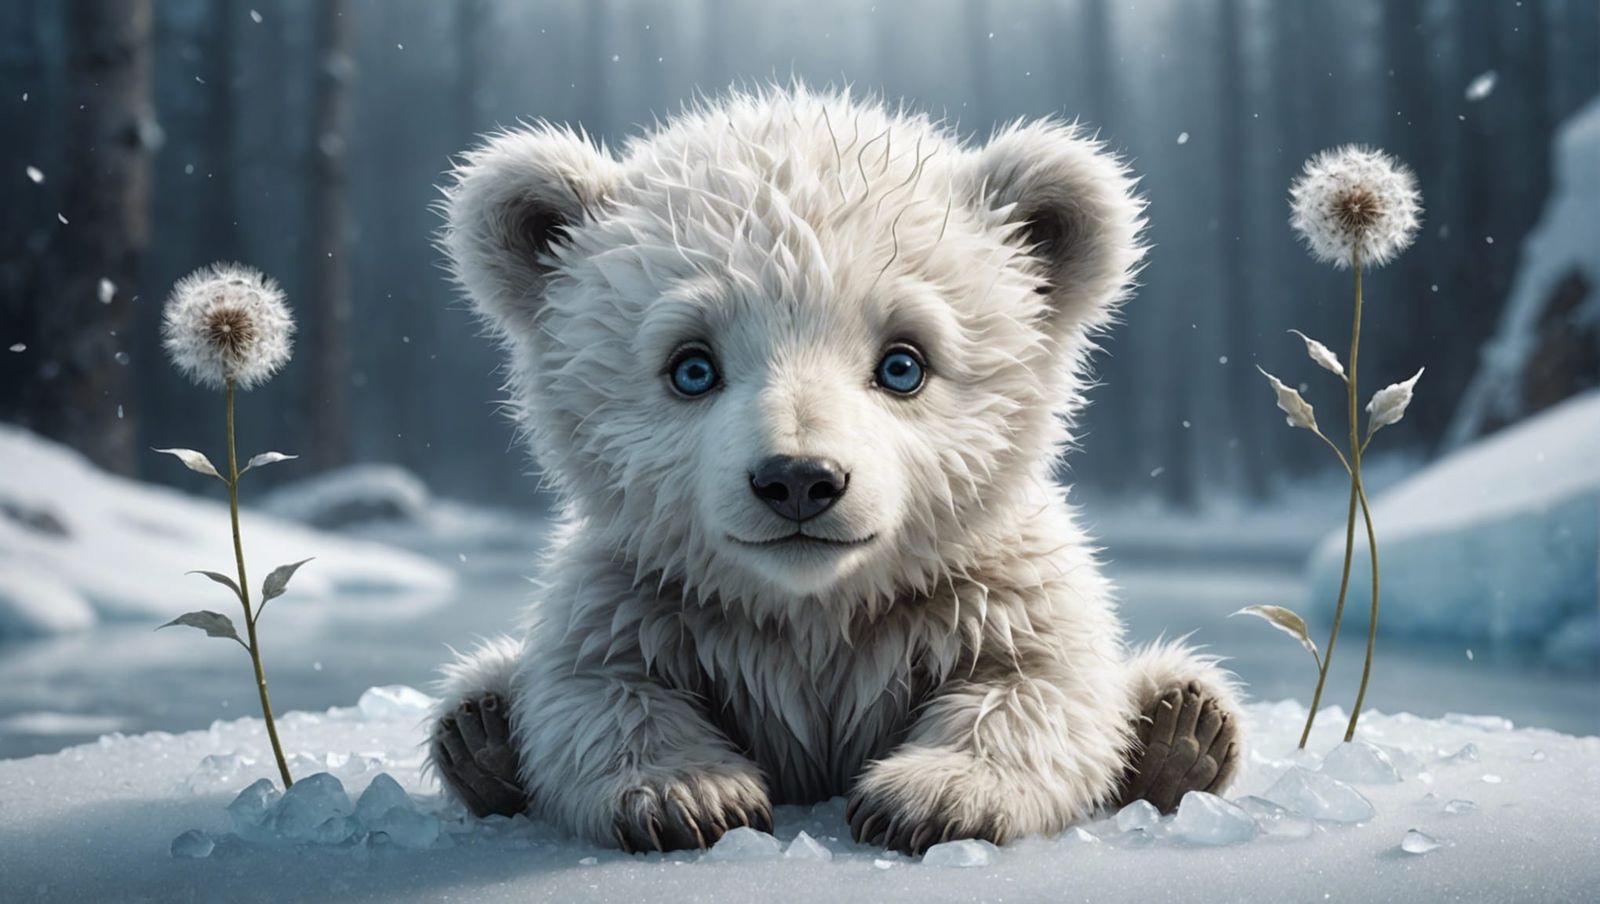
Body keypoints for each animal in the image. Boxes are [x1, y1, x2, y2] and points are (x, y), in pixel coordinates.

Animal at [426, 85, 1242, 854]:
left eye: (904, 364)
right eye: (692, 367)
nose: (798, 479)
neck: (814, 611)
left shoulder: (990, 583)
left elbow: (1039, 682)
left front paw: (929, 798)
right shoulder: (639, 590)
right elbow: (596, 688)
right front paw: (689, 796)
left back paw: (1183, 729)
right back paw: (480, 732)